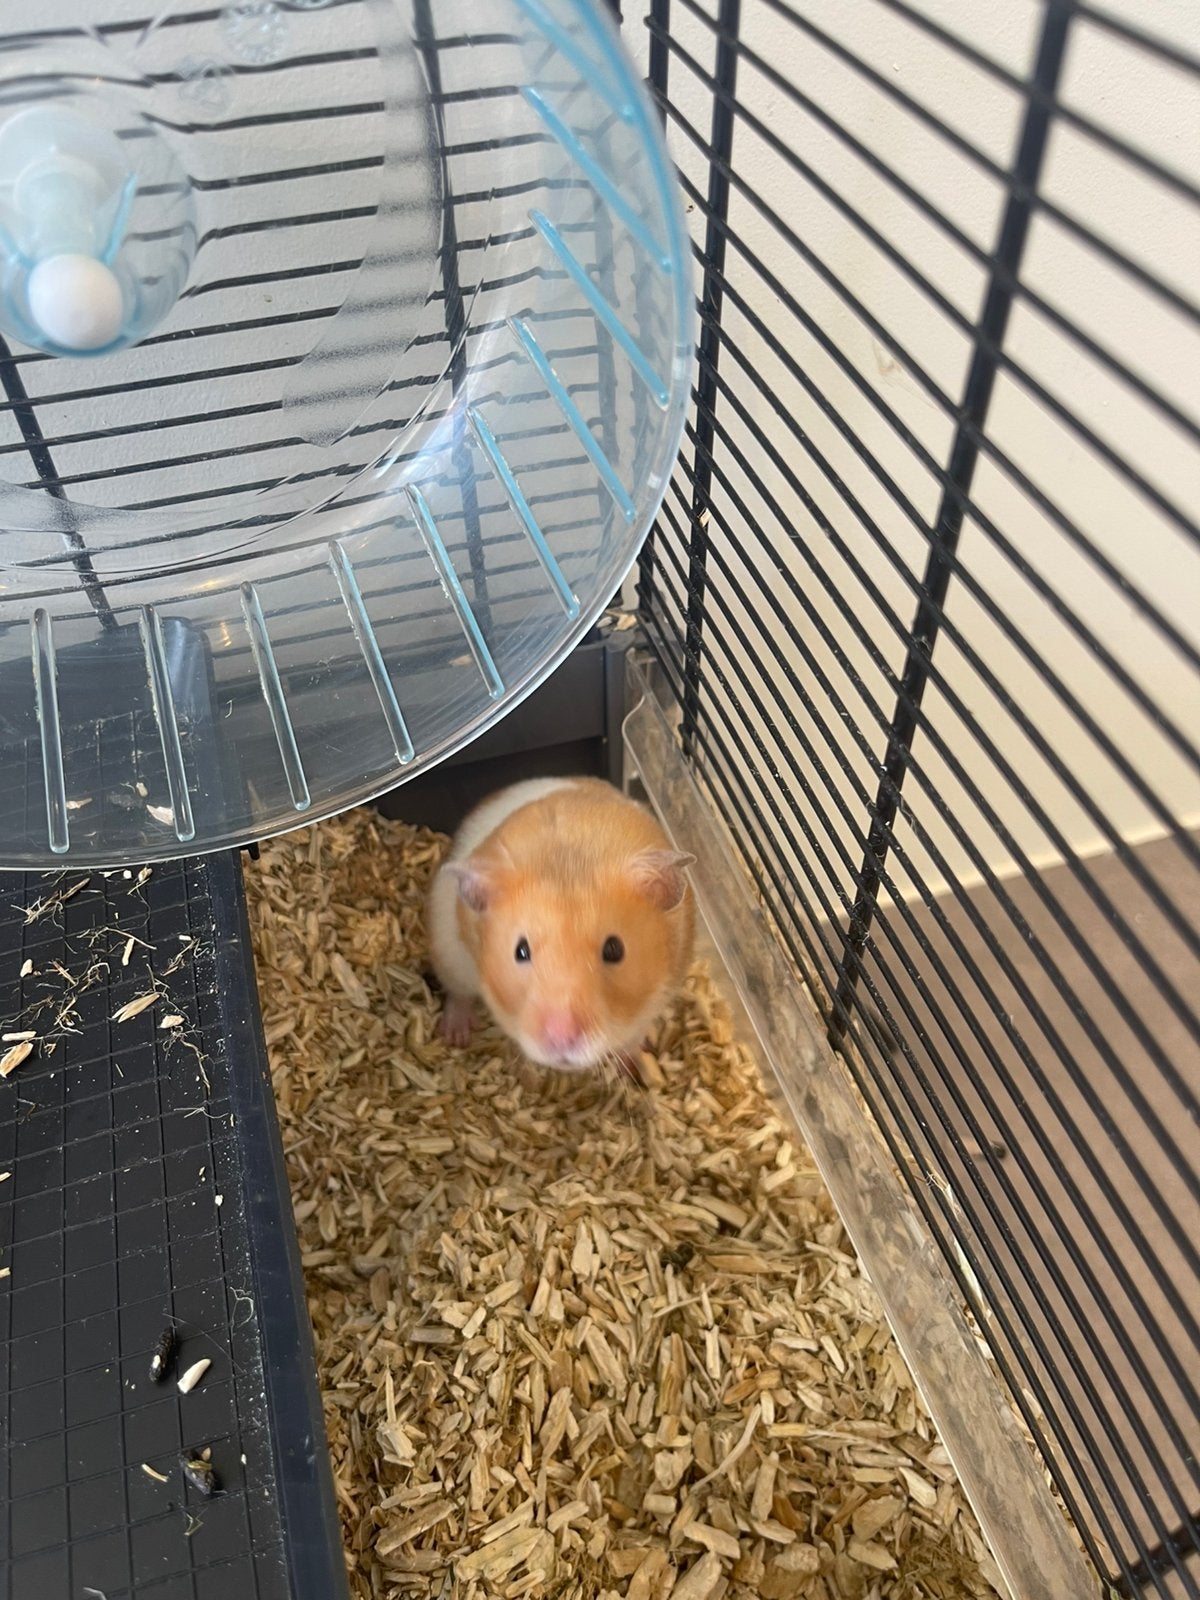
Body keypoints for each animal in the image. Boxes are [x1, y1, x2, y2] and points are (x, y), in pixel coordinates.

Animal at [427, 777, 695, 1072]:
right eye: (521, 951)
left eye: (615, 950)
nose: (561, 1039)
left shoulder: (658, 997)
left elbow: (634, 1036)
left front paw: (631, 1060)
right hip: (448, 950)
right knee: (457, 992)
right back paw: (456, 1035)